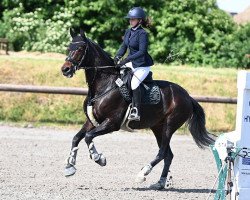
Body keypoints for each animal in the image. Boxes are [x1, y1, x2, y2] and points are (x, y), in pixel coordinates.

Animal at [61, 28, 215, 189]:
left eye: (80, 48)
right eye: (68, 48)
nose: (65, 69)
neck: (105, 85)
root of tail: (188, 97)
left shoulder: (112, 123)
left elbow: (88, 136)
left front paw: (99, 158)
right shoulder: (92, 121)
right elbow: (77, 138)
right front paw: (70, 167)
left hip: (169, 125)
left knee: (162, 152)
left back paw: (143, 173)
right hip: (157, 127)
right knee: (168, 155)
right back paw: (160, 183)